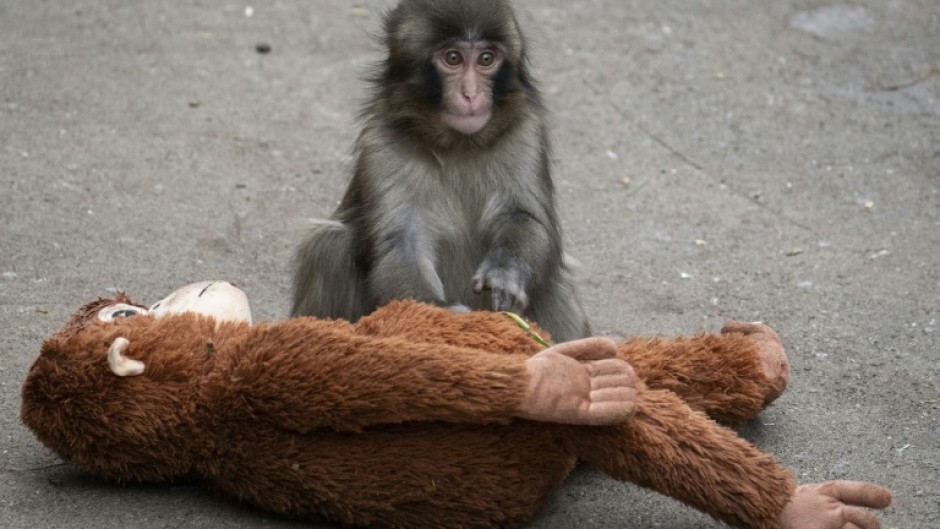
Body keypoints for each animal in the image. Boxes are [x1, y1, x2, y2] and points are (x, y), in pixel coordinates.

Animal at [291, 0, 591, 342]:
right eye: (453, 59)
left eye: (486, 59)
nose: (471, 94)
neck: (458, 144)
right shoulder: (382, 142)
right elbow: (404, 241)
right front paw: (440, 315)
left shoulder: (525, 131)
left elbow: (523, 217)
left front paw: (506, 270)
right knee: (329, 245)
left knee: (553, 280)